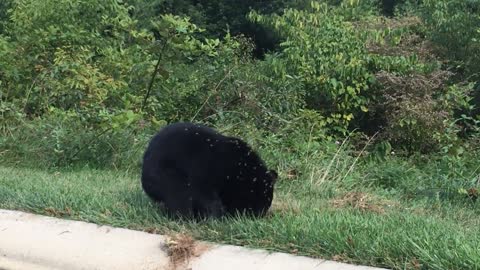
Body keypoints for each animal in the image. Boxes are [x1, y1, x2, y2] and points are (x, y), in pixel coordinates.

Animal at [141, 122, 278, 219]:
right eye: (258, 201)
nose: (257, 216)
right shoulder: (205, 170)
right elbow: (205, 195)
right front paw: (216, 217)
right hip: (164, 172)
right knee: (179, 193)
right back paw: (185, 217)